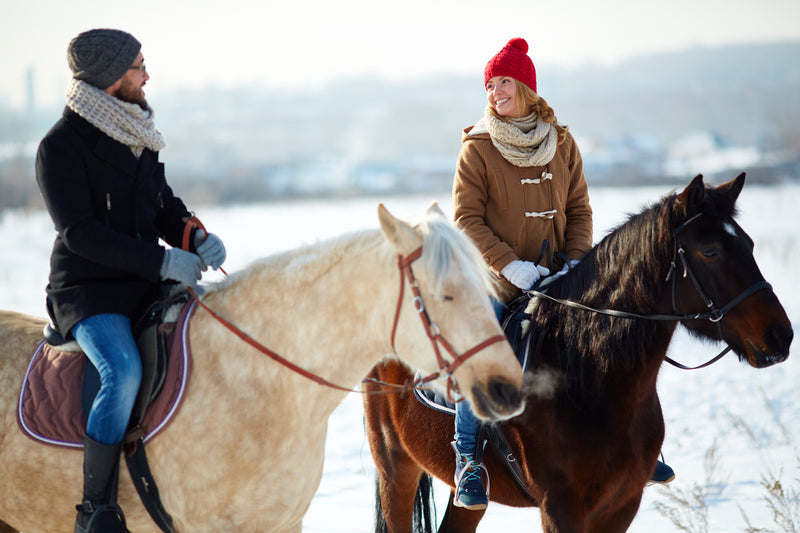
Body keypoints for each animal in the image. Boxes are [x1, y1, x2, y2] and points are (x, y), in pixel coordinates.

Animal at [362, 175, 792, 532]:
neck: (584, 374)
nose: (781, 336)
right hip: (395, 468)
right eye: (710, 251)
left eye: (749, 244)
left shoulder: (621, 505)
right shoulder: (560, 507)